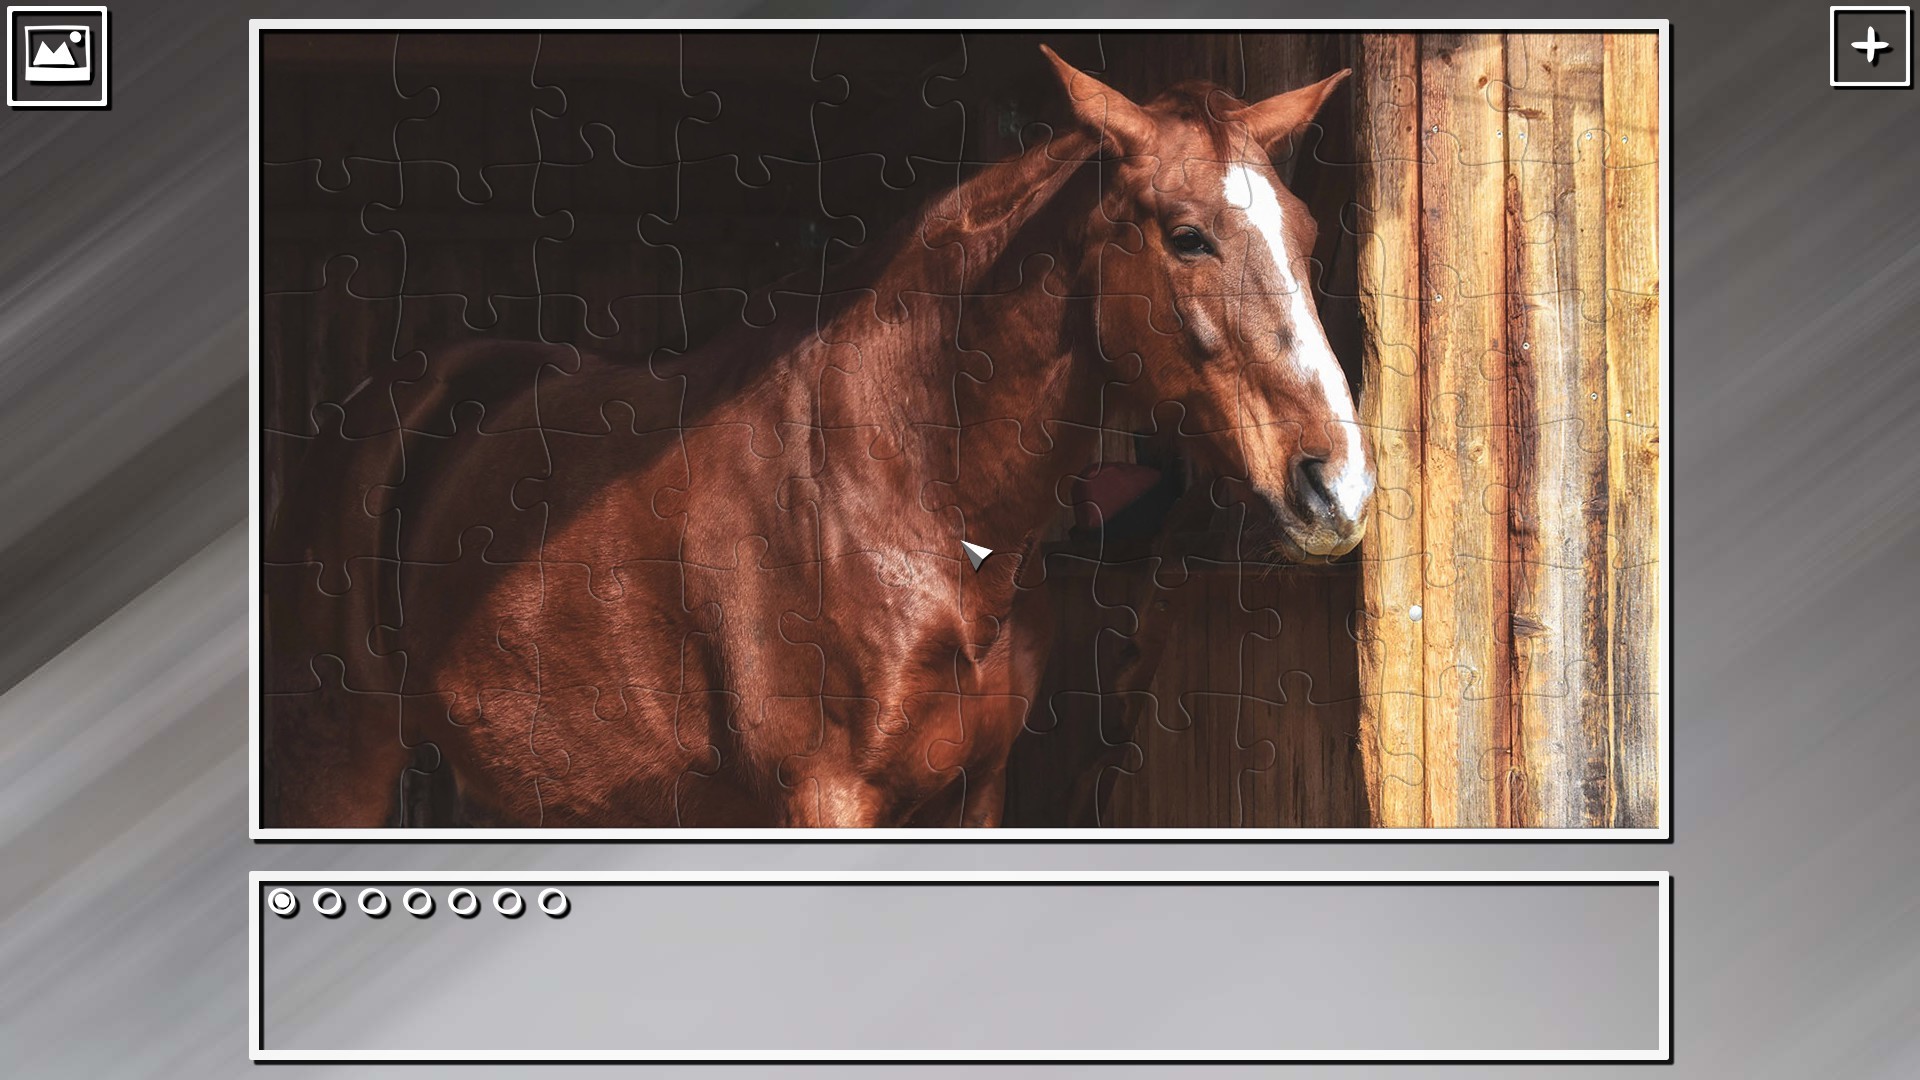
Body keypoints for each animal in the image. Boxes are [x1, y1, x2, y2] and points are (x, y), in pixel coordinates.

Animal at [262, 47, 1374, 828]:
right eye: (1187, 236)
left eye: (1309, 234)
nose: (1340, 487)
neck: (909, 490)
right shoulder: (825, 798)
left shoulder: (976, 792)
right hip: (340, 761)